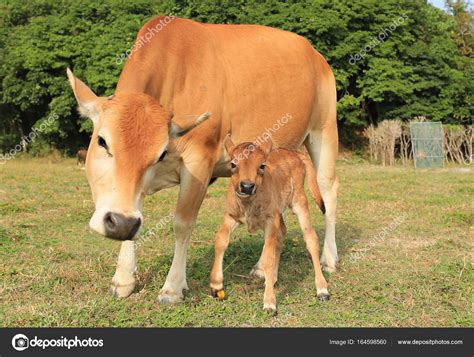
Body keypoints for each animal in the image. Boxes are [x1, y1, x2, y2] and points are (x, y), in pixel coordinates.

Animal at [211, 135, 330, 312]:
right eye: (233, 164)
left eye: (262, 165)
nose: (247, 186)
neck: (249, 204)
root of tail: (295, 153)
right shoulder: (231, 215)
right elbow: (220, 241)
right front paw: (216, 285)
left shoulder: (270, 220)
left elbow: (268, 256)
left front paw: (269, 302)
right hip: (279, 212)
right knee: (282, 235)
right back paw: (272, 279)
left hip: (299, 201)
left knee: (310, 238)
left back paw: (322, 289)